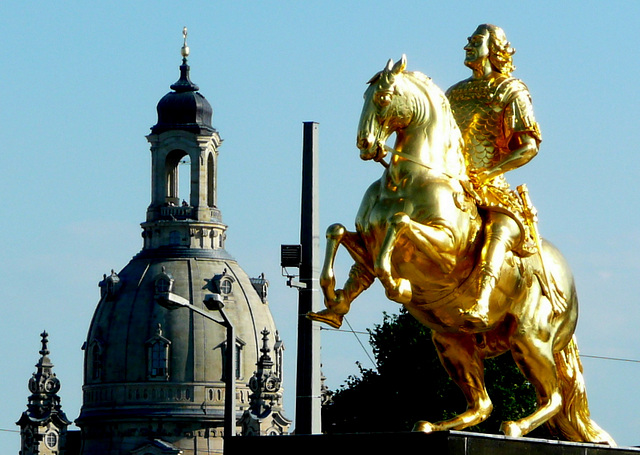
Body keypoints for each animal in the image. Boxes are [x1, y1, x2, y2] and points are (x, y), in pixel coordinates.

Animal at [310, 54, 616, 446]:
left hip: (530, 339)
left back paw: (514, 425)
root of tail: (570, 286)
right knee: (483, 404)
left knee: (554, 397)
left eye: (383, 97)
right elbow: (338, 234)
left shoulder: (446, 249)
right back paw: (436, 425)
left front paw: (398, 286)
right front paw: (332, 303)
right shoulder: (366, 240)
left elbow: (399, 225)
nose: (365, 144)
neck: (408, 180)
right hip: (451, 342)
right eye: (364, 95)